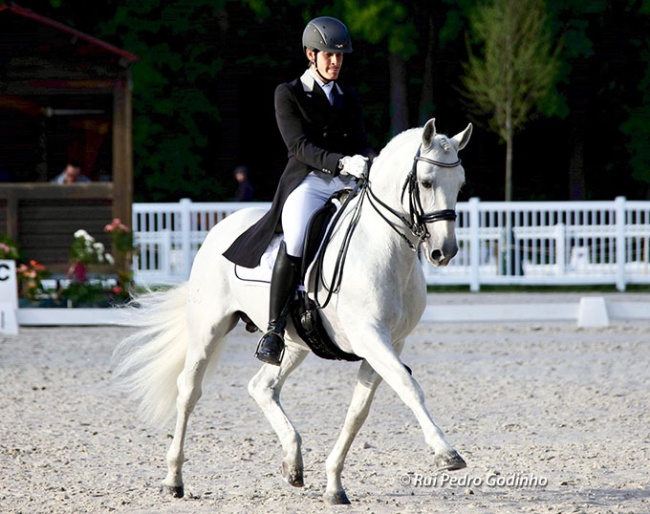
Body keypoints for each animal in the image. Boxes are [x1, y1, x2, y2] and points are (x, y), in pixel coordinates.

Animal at [111, 117, 470, 504]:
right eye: (426, 182)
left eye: (460, 184)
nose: (444, 252)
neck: (382, 247)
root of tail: (221, 225)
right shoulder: (371, 337)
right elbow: (408, 386)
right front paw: (446, 453)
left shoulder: (391, 342)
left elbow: (358, 412)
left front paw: (334, 484)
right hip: (208, 328)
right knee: (189, 390)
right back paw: (174, 478)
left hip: (295, 342)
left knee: (262, 386)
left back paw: (292, 461)